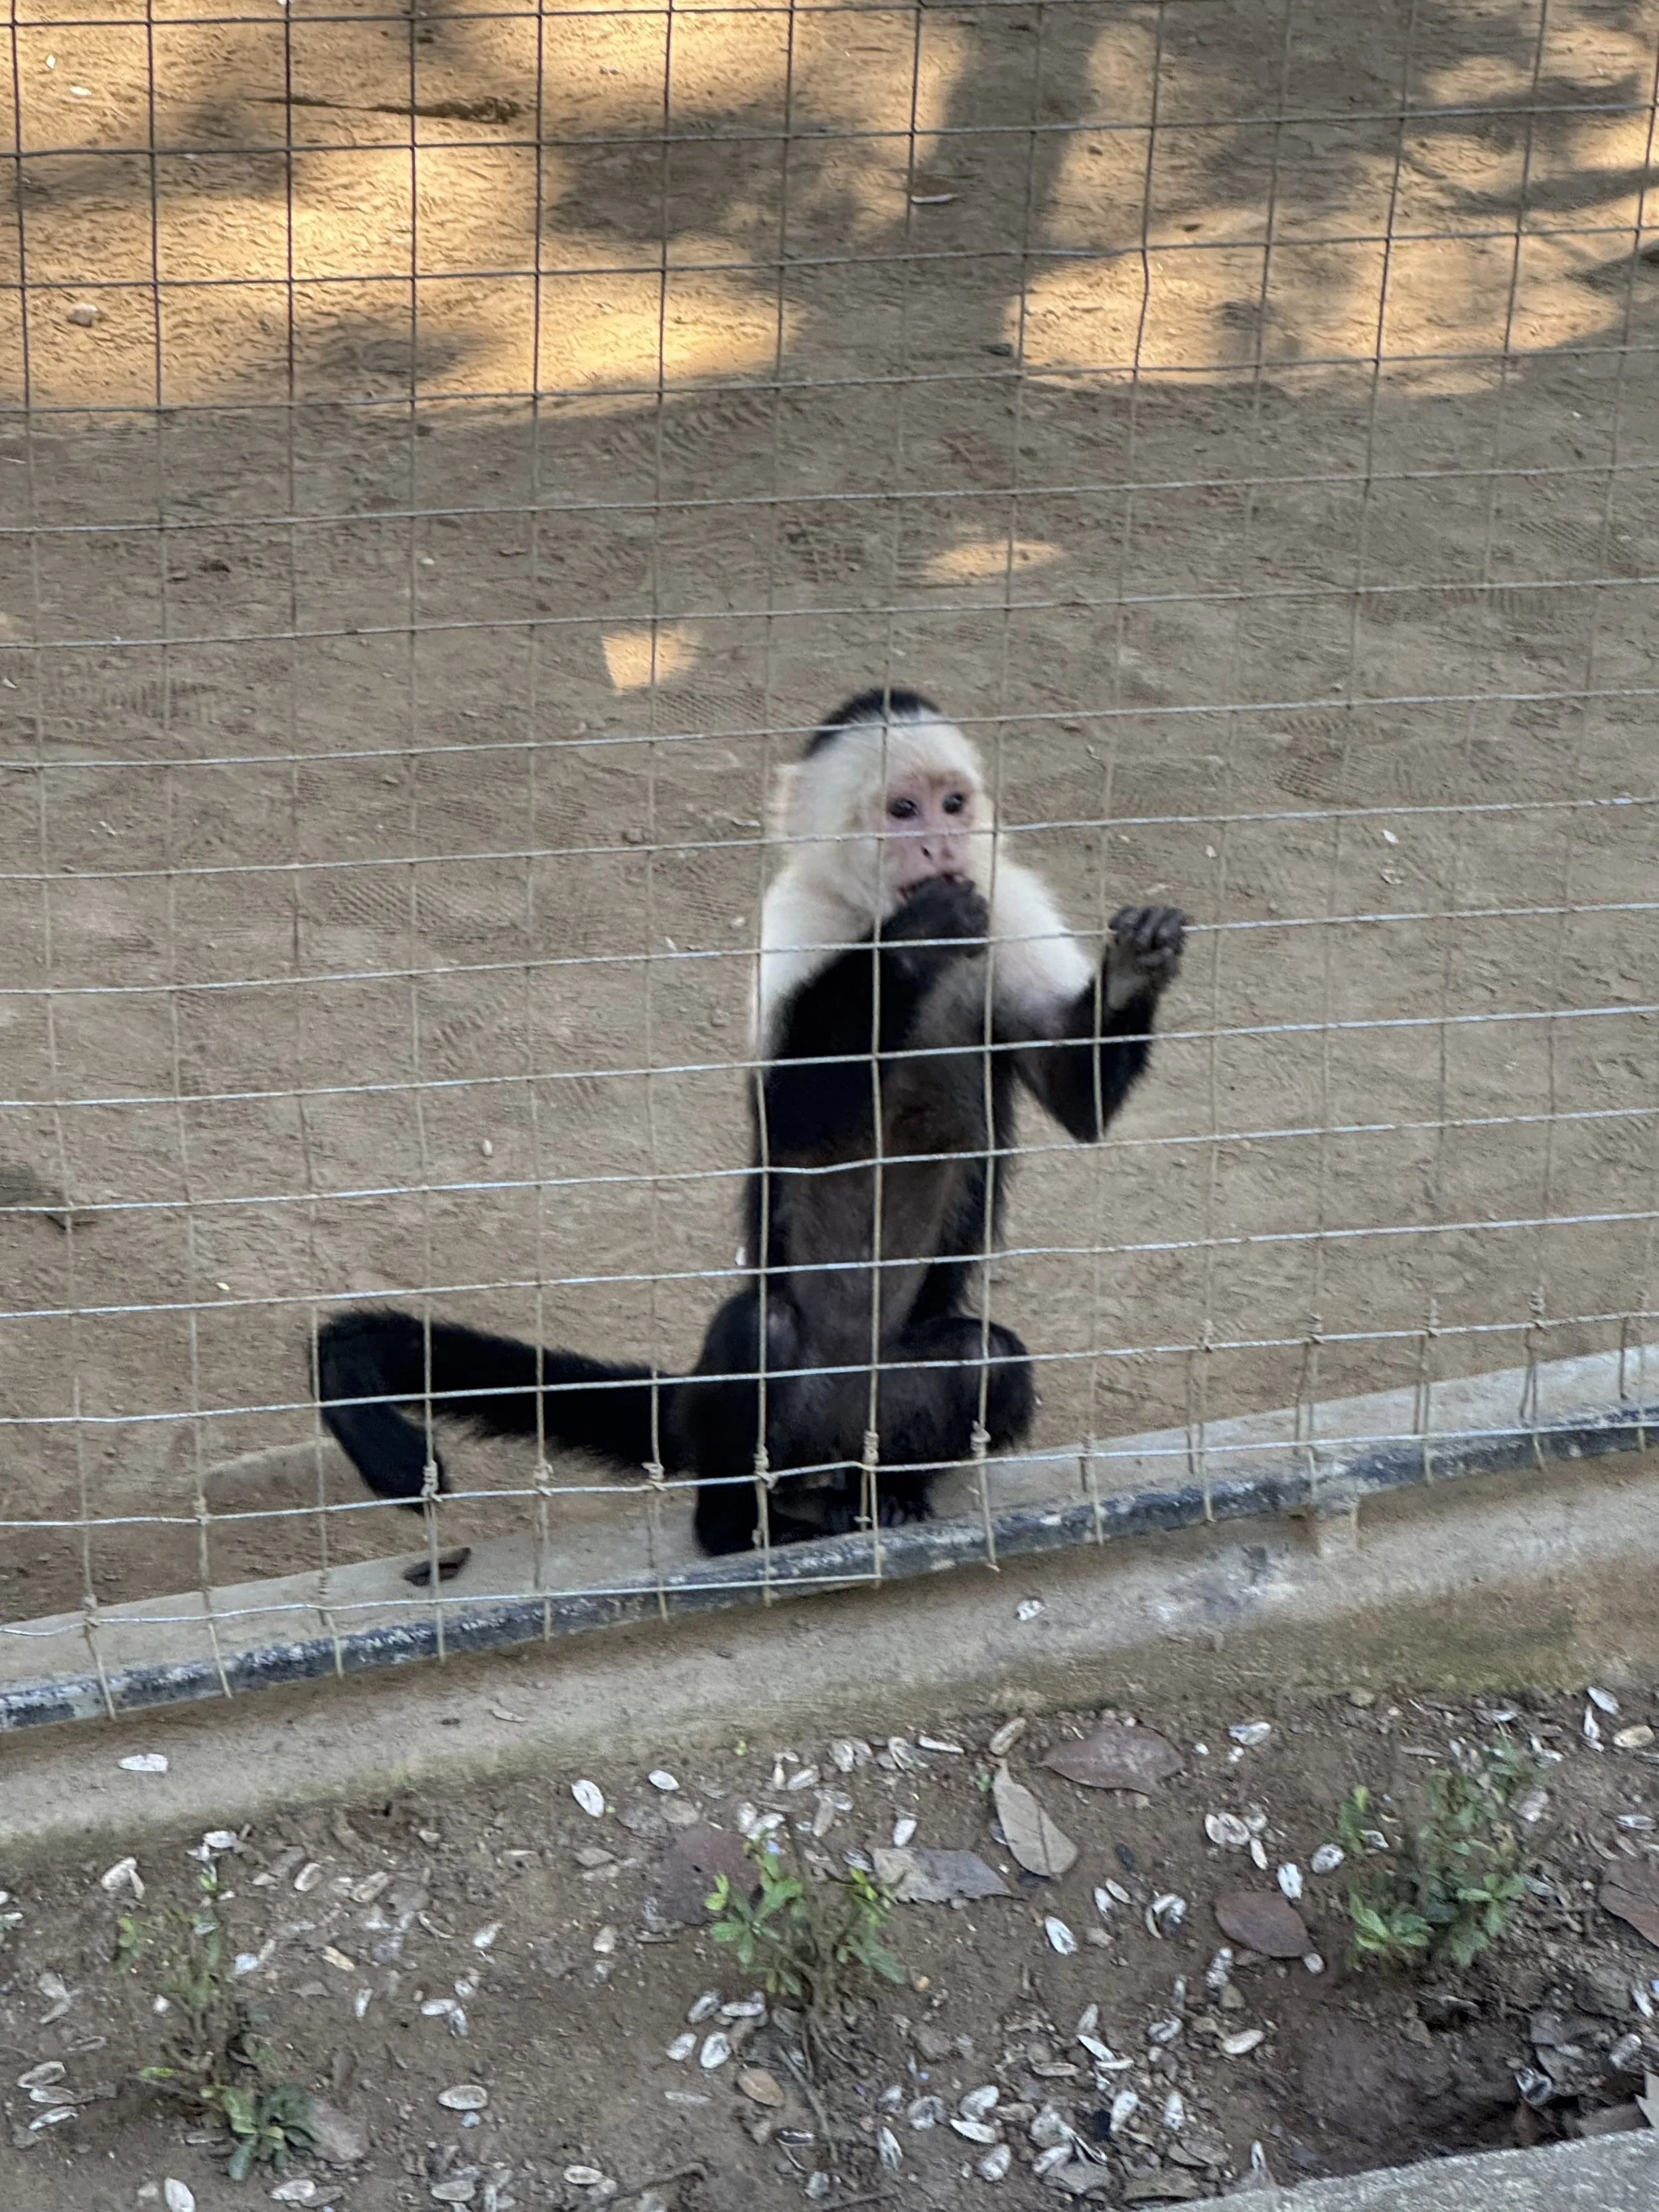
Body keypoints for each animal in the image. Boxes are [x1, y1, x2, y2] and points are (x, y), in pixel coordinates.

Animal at [314, 688, 1187, 1569]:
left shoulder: (1007, 904)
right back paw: (737, 1527)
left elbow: (1076, 1100)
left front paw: (1133, 966)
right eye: (901, 810)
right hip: (776, 1421)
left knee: (985, 1359)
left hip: (874, 1411)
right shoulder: (795, 918)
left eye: (953, 803)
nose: (940, 843)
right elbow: (793, 1108)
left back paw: (886, 1496)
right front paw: (916, 939)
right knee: (759, 1333)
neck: (869, 905)